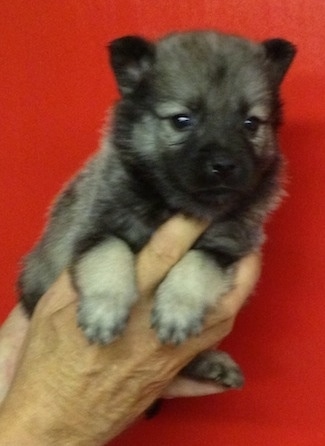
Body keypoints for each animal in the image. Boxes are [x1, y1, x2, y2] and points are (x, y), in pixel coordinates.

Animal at [19, 30, 294, 386]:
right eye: (182, 120)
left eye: (251, 123)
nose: (224, 165)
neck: (173, 202)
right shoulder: (96, 225)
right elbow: (109, 252)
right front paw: (104, 310)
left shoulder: (225, 246)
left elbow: (197, 265)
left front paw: (177, 310)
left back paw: (209, 363)